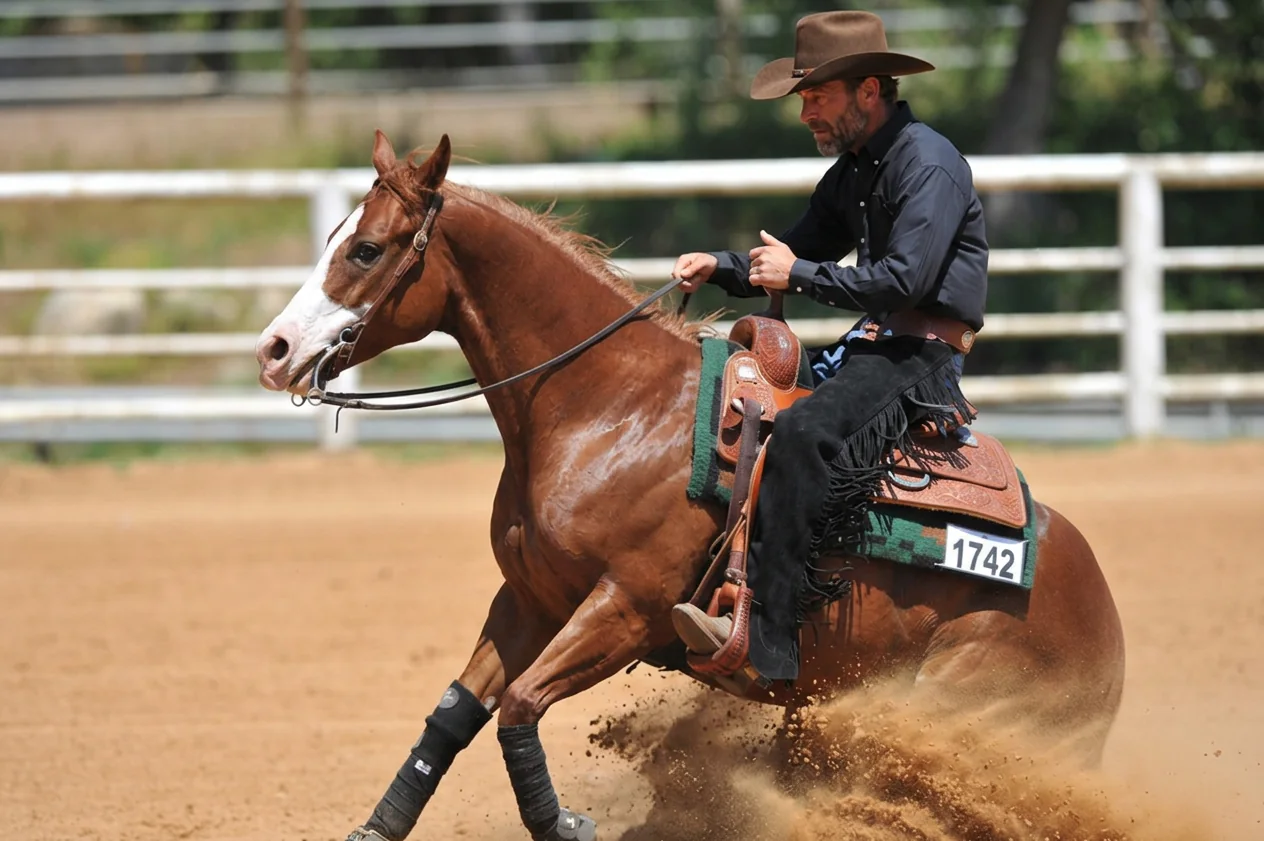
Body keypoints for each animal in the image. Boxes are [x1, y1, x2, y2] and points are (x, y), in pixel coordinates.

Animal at [254, 130, 1126, 841]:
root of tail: (1108, 629)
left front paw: (564, 822)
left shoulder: (627, 607)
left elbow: (521, 707)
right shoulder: (530, 598)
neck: (608, 405)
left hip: (946, 707)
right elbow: (455, 714)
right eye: (336, 238)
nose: (274, 348)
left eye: (367, 249)